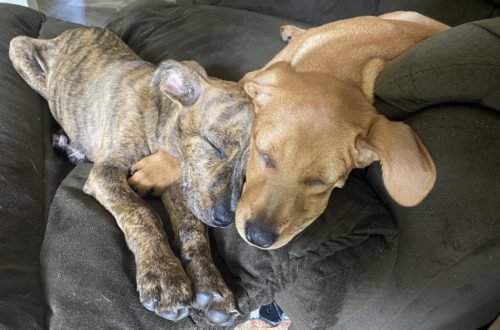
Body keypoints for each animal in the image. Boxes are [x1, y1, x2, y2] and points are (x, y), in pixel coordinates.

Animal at [10, 27, 254, 324]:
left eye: (249, 172)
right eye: (214, 145)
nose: (225, 219)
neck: (157, 118)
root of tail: (71, 31)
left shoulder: (178, 186)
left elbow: (192, 229)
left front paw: (212, 287)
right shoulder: (106, 172)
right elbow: (142, 213)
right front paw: (163, 276)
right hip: (20, 51)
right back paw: (69, 145)